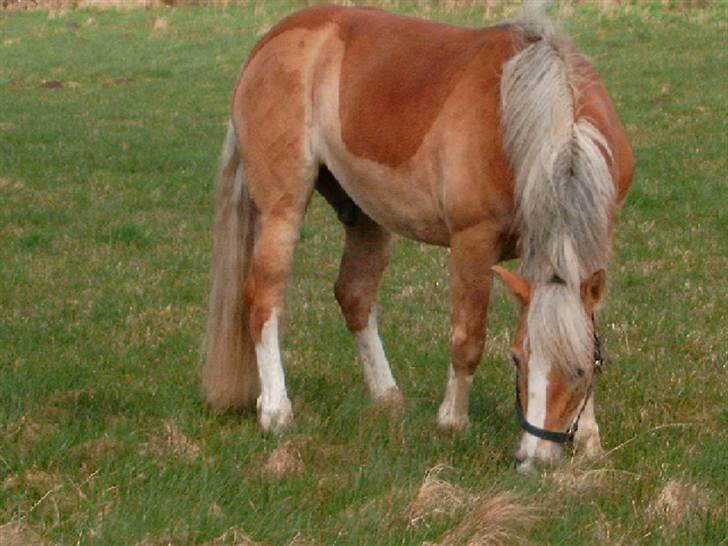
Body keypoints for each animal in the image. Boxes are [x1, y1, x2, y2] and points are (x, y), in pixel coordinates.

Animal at [202, 1, 634, 472]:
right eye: (517, 357)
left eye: (580, 371)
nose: (533, 459)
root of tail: (270, 40)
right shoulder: (472, 243)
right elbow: (468, 338)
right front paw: (452, 422)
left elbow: (586, 328)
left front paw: (589, 437)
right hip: (283, 210)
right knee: (265, 299)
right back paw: (276, 411)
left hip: (365, 214)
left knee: (354, 295)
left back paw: (388, 398)